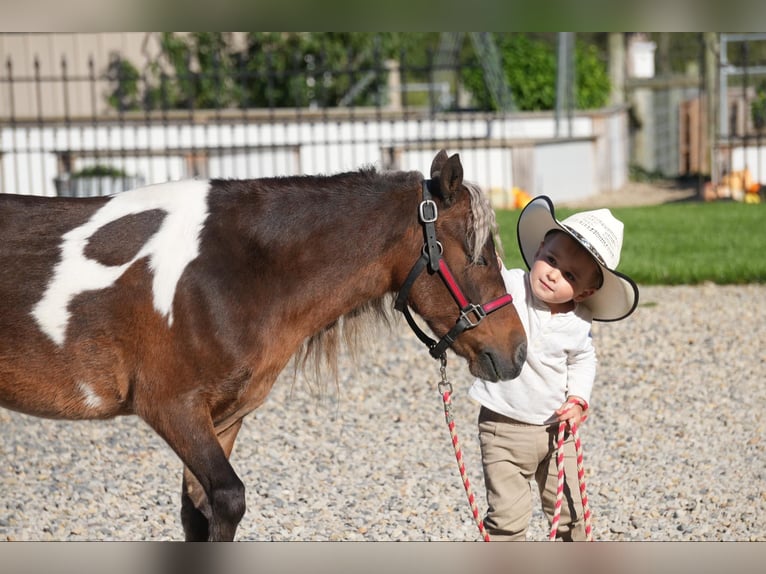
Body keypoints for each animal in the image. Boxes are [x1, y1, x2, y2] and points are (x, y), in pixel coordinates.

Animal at [0, 151, 528, 544]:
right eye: (479, 254)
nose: (517, 350)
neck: (228, 270)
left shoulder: (223, 417)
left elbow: (200, 510)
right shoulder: (172, 407)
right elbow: (228, 497)